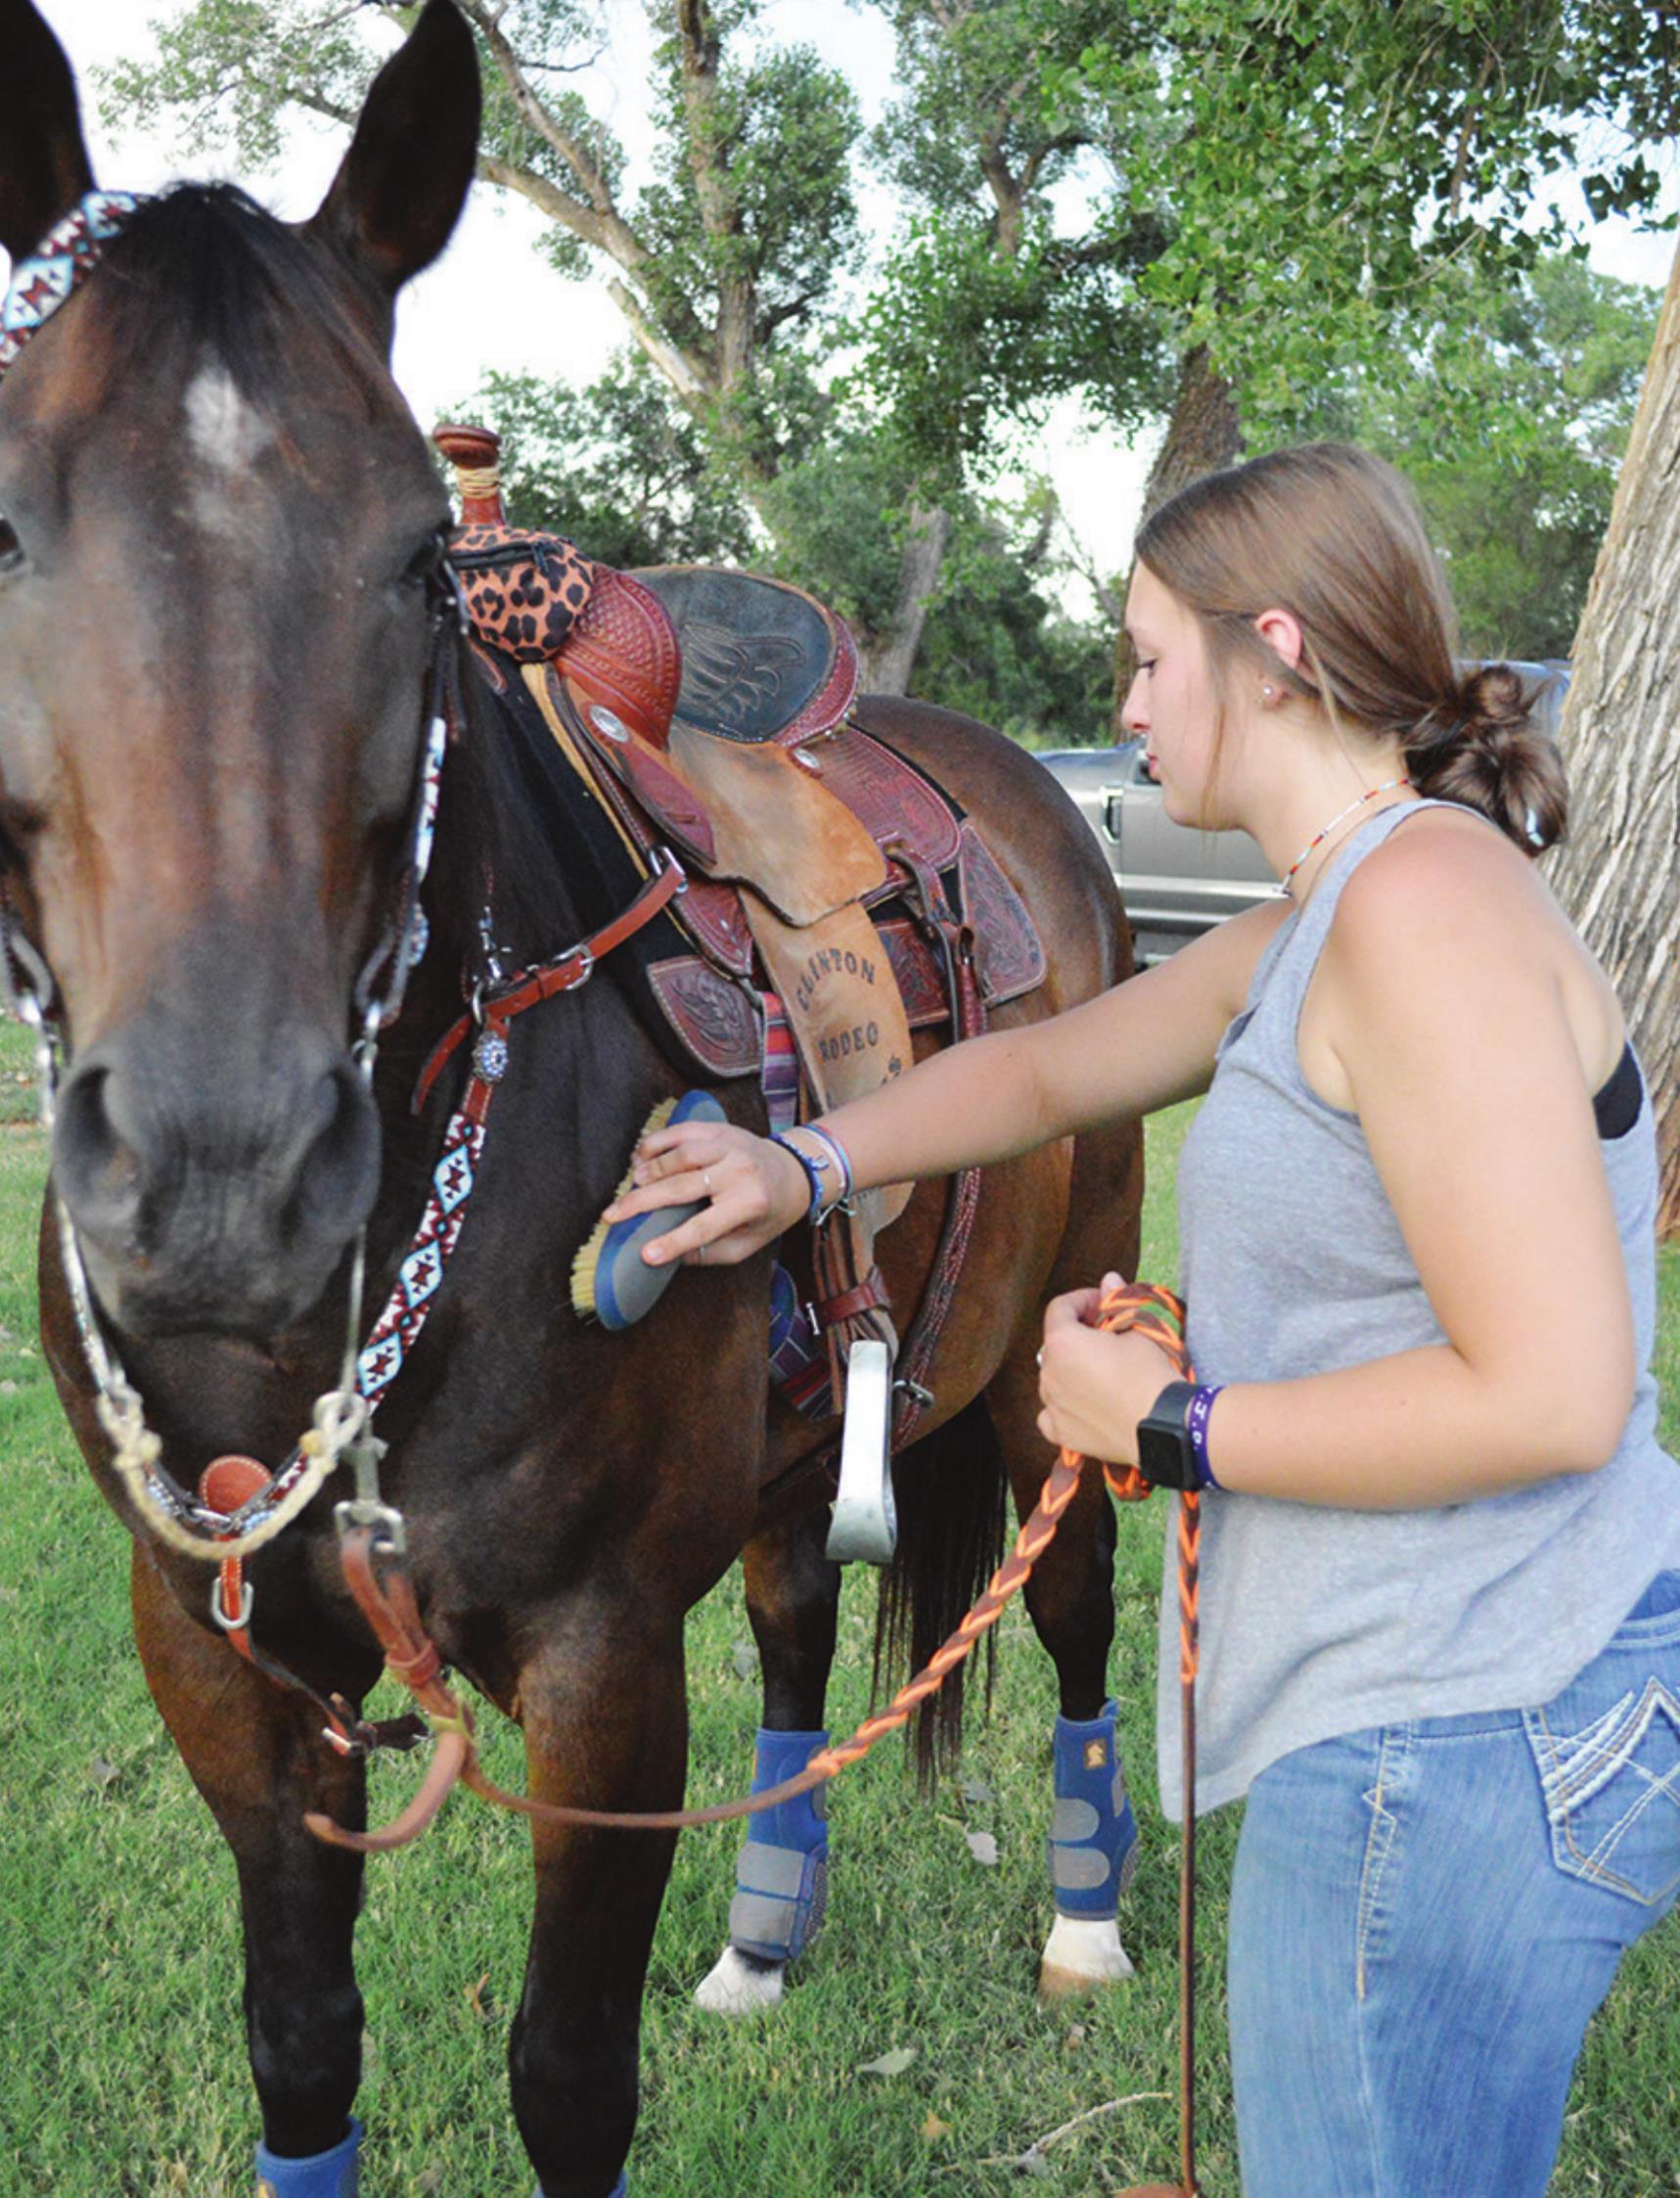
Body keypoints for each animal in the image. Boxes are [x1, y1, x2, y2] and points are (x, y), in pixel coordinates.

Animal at [0, 8, 1143, 2189]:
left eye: (416, 559)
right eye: (2, 525)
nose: (219, 1173)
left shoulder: (602, 1662)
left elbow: (566, 2077)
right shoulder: (214, 1654)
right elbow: (300, 2048)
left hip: (1072, 1335)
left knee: (1070, 1599)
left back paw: (1090, 1921)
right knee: (795, 1615)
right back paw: (766, 1942)